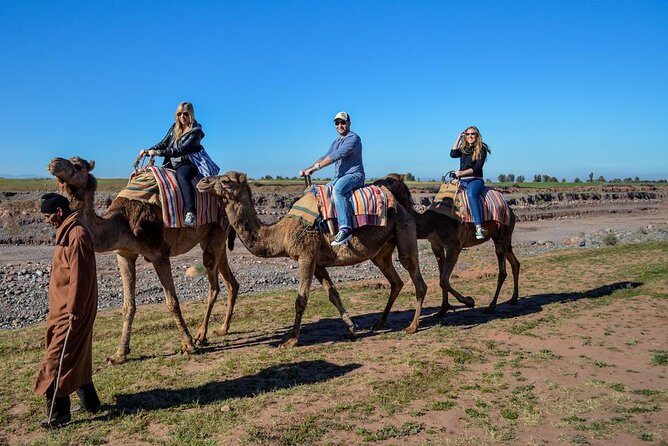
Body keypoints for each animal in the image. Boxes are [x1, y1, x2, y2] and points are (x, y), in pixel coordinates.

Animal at [47, 156, 239, 364]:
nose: (54, 162)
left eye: (78, 165)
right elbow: (128, 306)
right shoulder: (124, 254)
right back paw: (222, 329)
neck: (122, 222)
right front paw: (119, 354)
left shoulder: (159, 253)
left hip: (215, 233)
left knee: (214, 284)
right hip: (213, 239)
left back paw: (200, 336)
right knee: (230, 281)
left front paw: (188, 346)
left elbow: (172, 302)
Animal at [196, 172, 428, 347]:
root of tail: (402, 206)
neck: (281, 233)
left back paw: (412, 327)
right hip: (381, 253)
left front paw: (290, 340)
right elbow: (333, 294)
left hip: (404, 232)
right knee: (395, 281)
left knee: (417, 279)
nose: (202, 181)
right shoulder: (317, 262)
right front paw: (351, 329)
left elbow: (300, 300)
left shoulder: (306, 256)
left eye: (226, 180)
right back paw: (379, 323)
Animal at [374, 174, 520, 314]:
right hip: (503, 238)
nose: (375, 183)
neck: (431, 222)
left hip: (502, 233)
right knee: (515, 262)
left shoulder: (453, 246)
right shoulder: (436, 246)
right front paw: (443, 309)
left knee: (502, 271)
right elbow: (441, 278)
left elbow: (443, 280)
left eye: (390, 180)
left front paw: (469, 301)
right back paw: (513, 299)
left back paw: (491, 306)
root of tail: (510, 210)